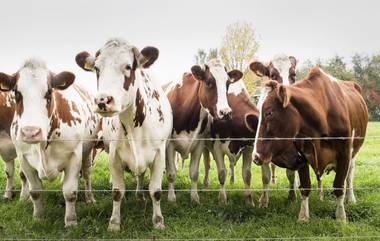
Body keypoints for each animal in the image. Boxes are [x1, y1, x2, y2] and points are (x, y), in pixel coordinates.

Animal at [0, 57, 101, 227]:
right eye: (16, 93)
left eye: (48, 92)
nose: (31, 132)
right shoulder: (23, 157)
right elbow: (34, 191)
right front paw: (38, 217)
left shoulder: (74, 155)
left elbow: (70, 192)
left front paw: (71, 221)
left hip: (88, 150)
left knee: (87, 174)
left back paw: (90, 198)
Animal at [75, 37, 173, 230]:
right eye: (97, 68)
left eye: (128, 66)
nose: (102, 100)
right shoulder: (114, 155)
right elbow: (117, 191)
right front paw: (114, 222)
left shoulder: (159, 154)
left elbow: (156, 191)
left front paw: (158, 221)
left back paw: (140, 195)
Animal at [164, 58, 242, 203]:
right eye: (209, 82)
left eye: (228, 83)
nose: (226, 112)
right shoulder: (170, 146)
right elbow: (171, 173)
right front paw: (171, 197)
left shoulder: (199, 144)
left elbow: (194, 173)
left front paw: (194, 197)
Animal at [249, 66, 368, 222]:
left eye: (269, 113)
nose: (255, 156)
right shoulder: (302, 154)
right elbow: (305, 186)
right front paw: (303, 216)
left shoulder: (344, 153)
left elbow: (339, 185)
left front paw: (341, 216)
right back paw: (320, 195)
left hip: (353, 153)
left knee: (349, 175)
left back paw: (350, 198)